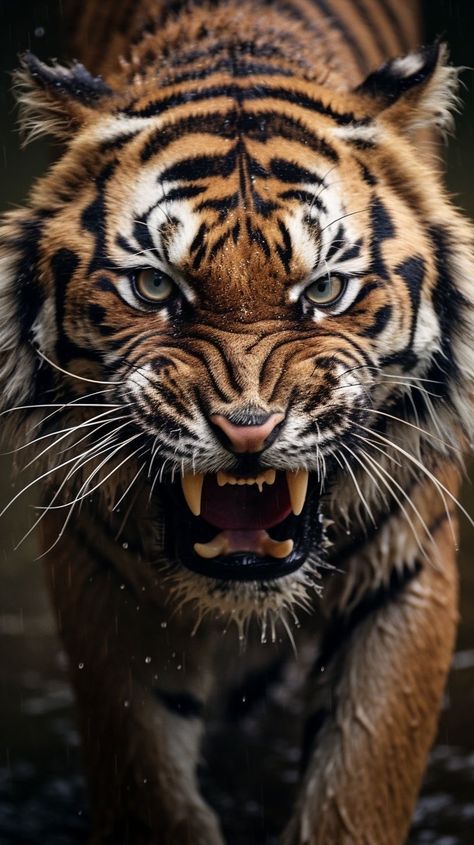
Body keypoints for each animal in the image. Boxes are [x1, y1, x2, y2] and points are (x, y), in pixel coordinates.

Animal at [0, 0, 472, 840]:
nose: (248, 430)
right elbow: (147, 783)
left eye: (325, 290)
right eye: (155, 287)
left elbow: (358, 784)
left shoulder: (406, 573)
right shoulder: (101, 580)